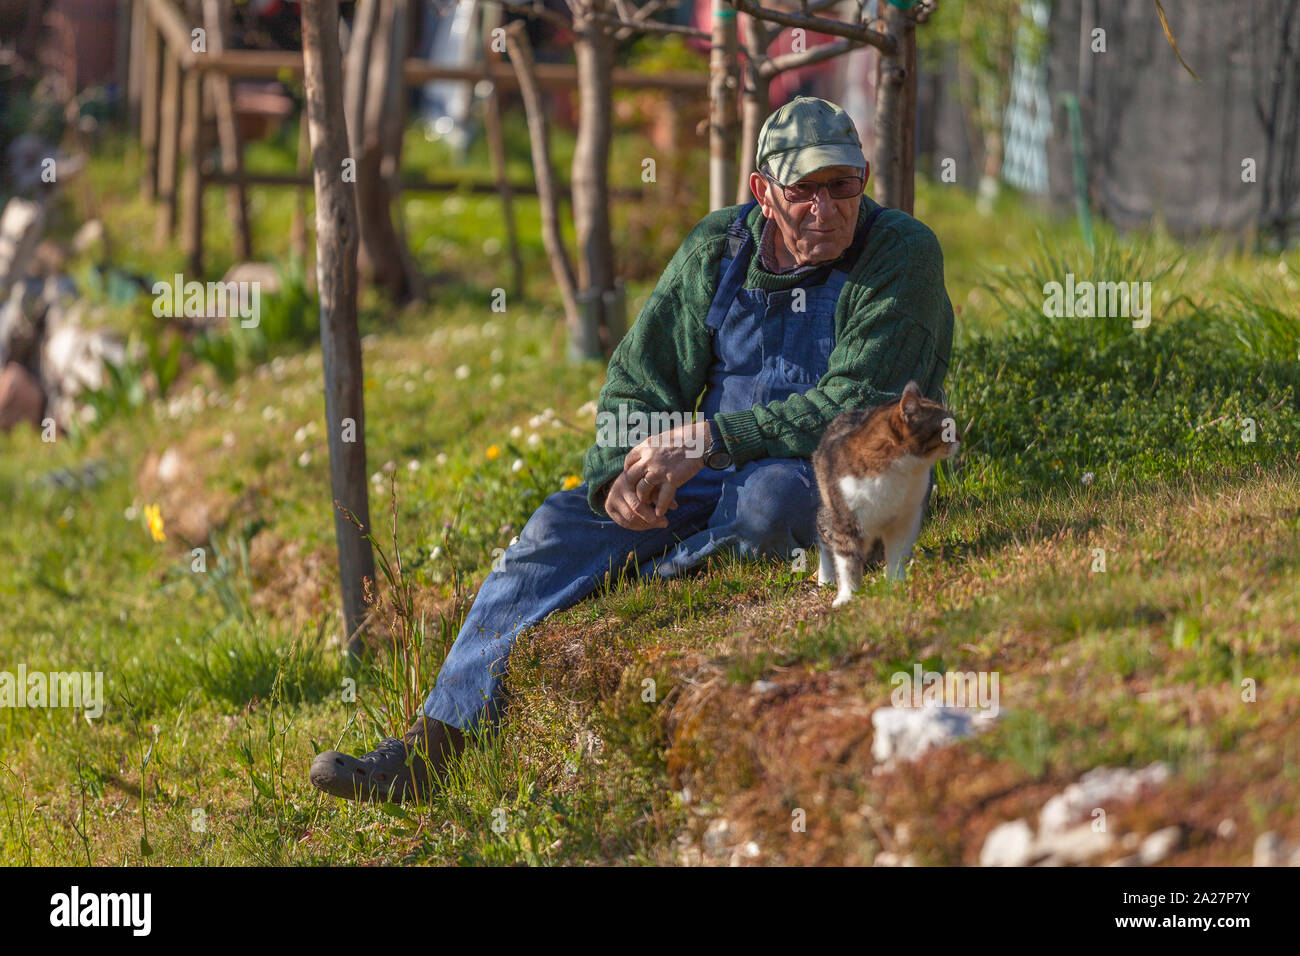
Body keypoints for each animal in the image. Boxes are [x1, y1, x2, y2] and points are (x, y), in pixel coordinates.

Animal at [816, 379, 961, 608]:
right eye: (947, 428)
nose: (961, 438)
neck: (902, 472)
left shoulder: (905, 519)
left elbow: (897, 553)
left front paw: (897, 582)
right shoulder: (846, 520)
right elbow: (847, 561)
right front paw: (848, 596)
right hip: (831, 508)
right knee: (824, 533)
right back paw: (826, 577)